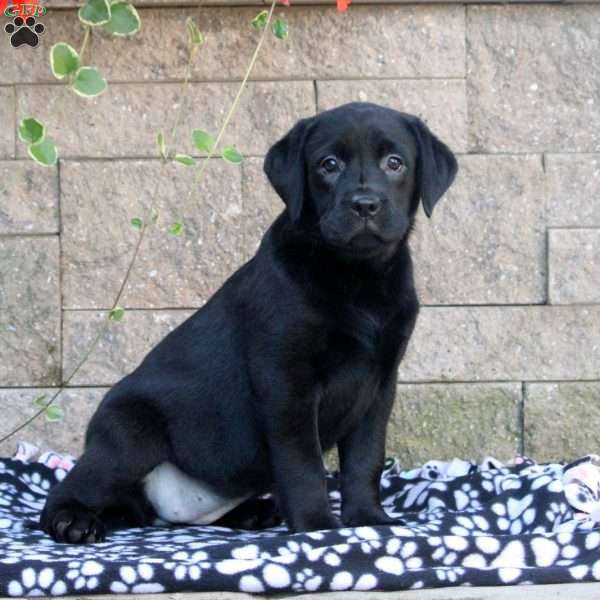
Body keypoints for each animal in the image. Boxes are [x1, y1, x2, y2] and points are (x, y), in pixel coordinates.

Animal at [39, 103, 458, 544]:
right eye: (328, 165)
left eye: (395, 163)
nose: (364, 204)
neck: (357, 276)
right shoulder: (287, 383)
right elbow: (303, 462)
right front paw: (317, 525)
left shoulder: (378, 385)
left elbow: (365, 459)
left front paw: (368, 518)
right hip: (130, 434)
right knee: (71, 487)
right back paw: (73, 521)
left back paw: (253, 512)